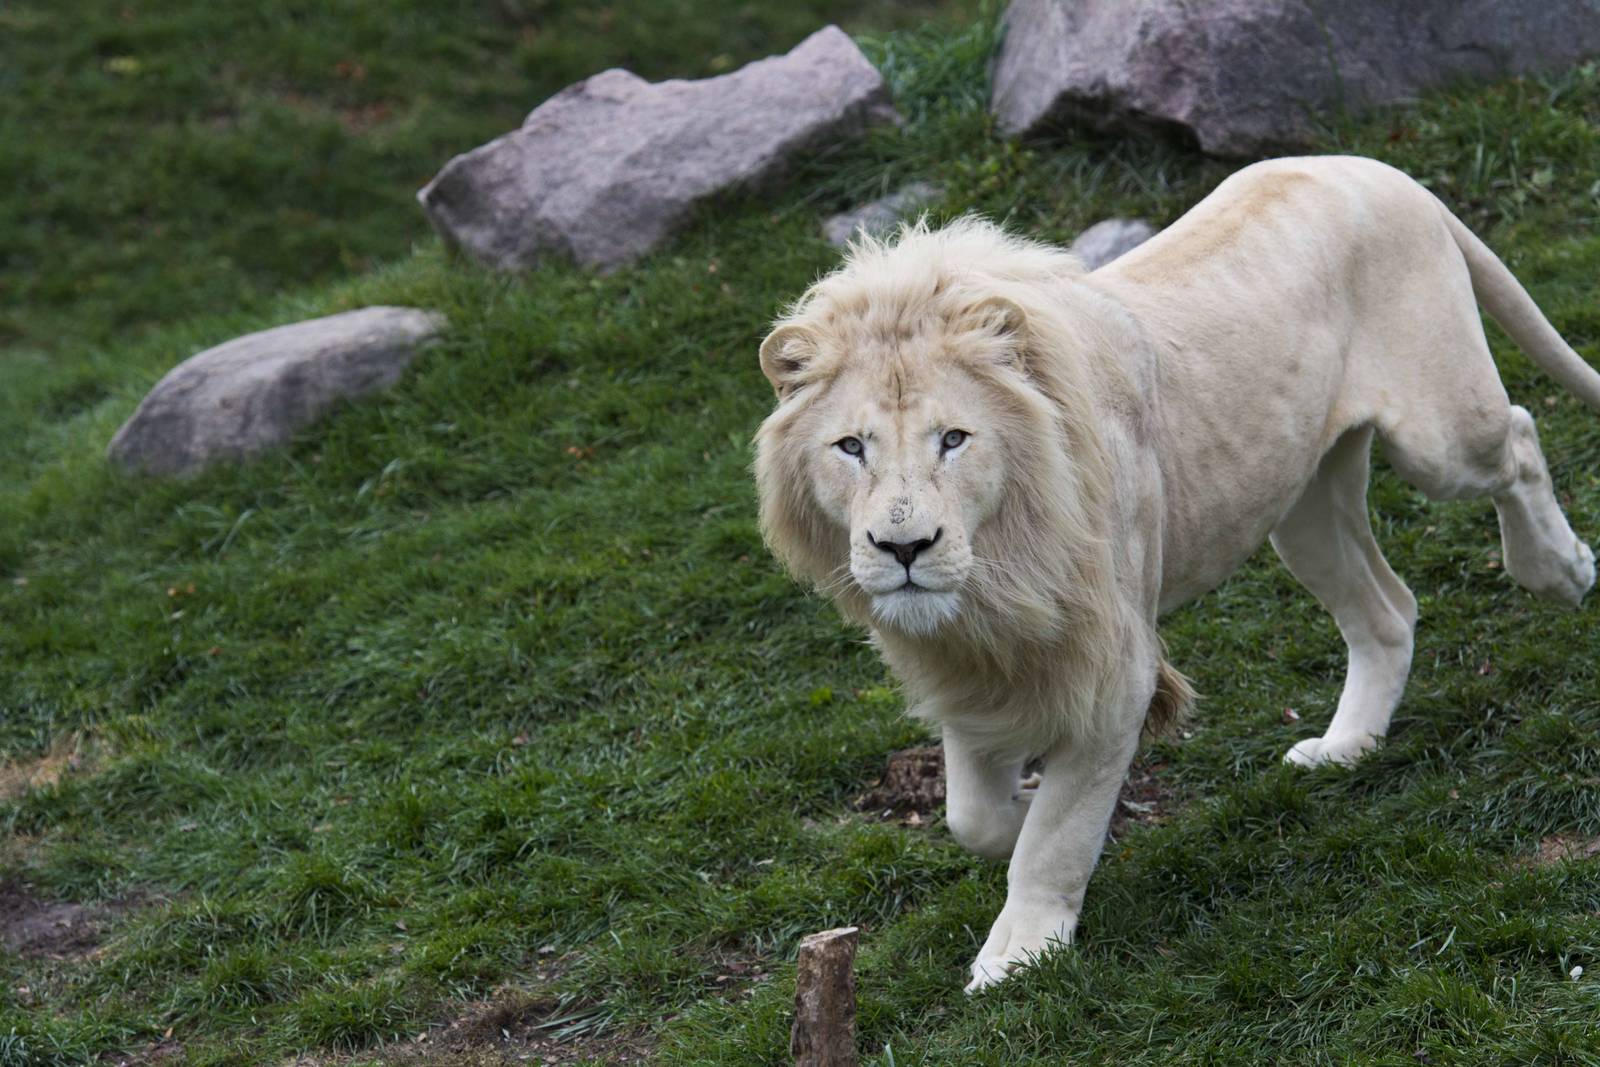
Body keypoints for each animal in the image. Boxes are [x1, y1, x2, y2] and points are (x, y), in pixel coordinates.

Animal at [752, 155, 1599, 992]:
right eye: (851, 446)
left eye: (954, 438)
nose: (904, 547)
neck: (997, 572)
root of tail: (1372, 167)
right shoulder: (975, 665)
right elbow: (974, 816)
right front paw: (1021, 808)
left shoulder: (1112, 672)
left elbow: (1058, 834)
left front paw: (1023, 945)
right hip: (1304, 508)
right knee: (1388, 610)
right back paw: (1345, 746)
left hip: (1439, 437)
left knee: (1519, 438)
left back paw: (1561, 570)